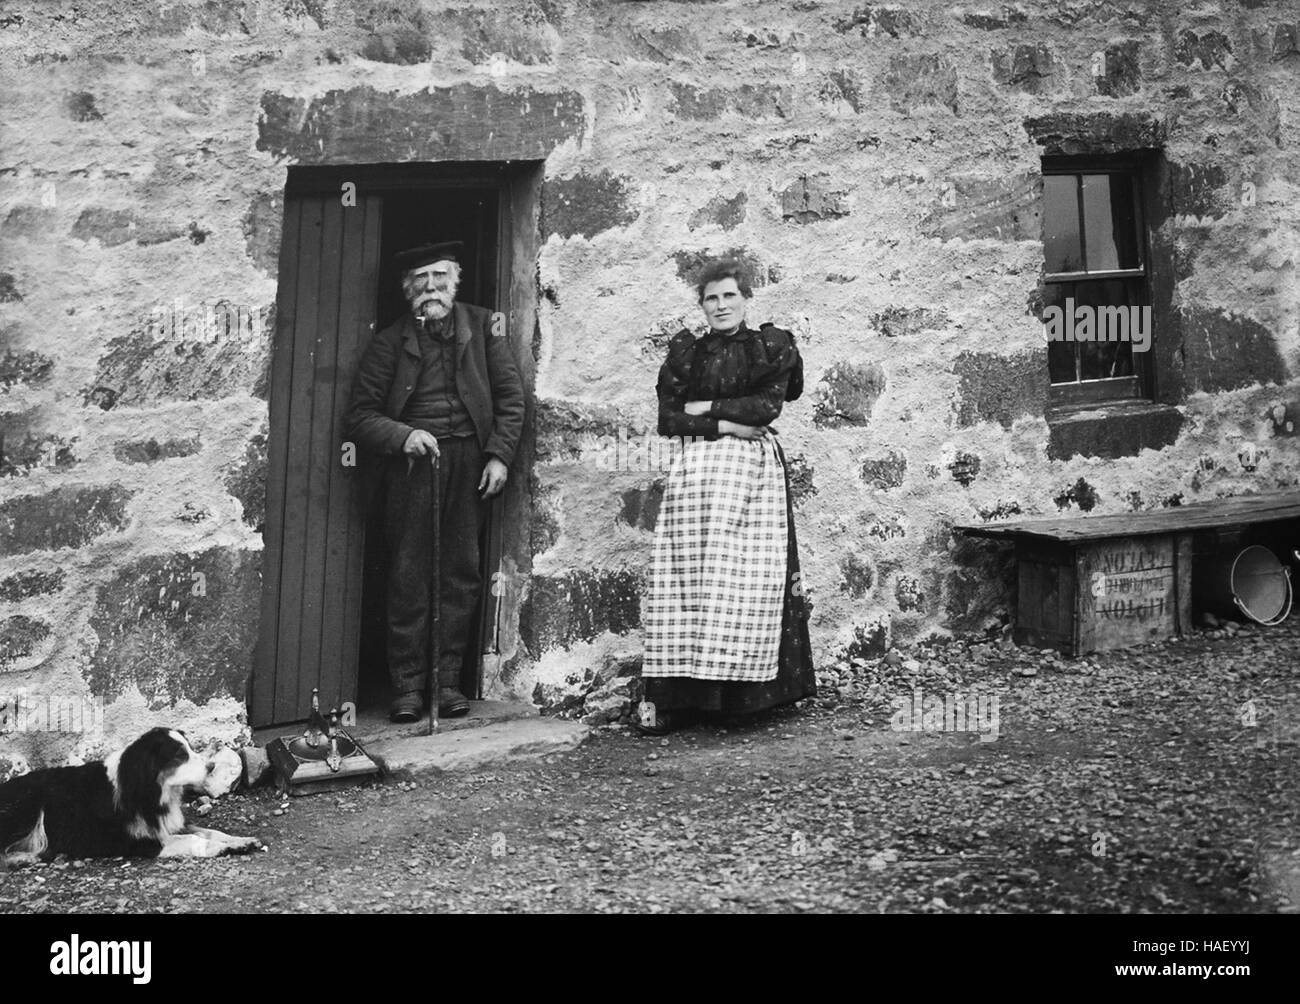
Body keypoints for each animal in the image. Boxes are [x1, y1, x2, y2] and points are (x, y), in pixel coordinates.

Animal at [0, 723, 263, 868]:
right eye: (179, 755)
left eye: (189, 748)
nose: (211, 767)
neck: (152, 792)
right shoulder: (143, 842)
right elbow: (193, 839)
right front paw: (221, 849)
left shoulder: (171, 824)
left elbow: (211, 831)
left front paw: (240, 841)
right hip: (27, 806)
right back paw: (21, 858)